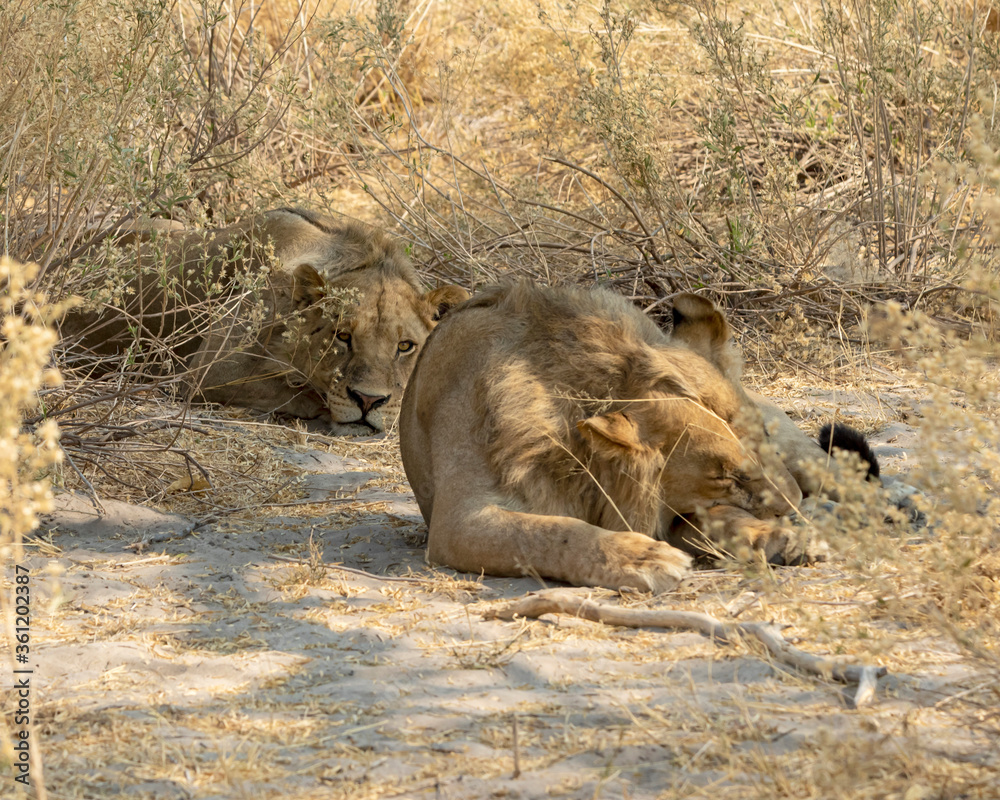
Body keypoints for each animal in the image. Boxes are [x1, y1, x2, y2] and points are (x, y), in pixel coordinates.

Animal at [398, 282, 806, 593]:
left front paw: (774, 537)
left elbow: (722, 516)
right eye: (725, 476)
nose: (796, 508)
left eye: (763, 441)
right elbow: (546, 532)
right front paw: (642, 558)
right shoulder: (456, 522)